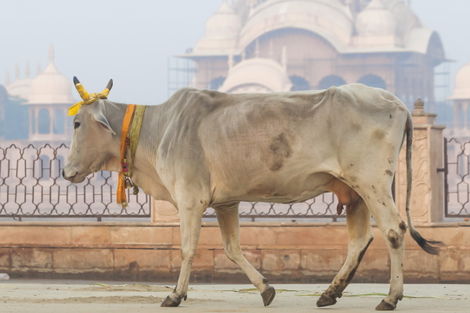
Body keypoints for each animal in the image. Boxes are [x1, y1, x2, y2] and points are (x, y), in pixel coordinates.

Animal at [62, 78, 440, 310]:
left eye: (77, 123)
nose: (66, 172)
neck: (160, 127)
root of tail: (398, 103)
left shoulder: (190, 199)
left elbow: (186, 249)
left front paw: (176, 294)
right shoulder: (226, 202)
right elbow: (232, 249)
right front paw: (266, 289)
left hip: (372, 181)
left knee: (393, 230)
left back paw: (390, 297)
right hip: (354, 190)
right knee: (359, 240)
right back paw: (330, 292)